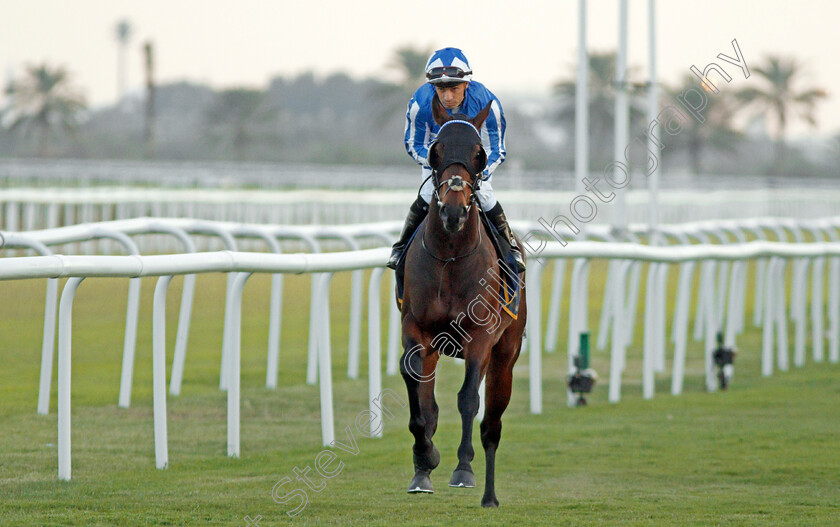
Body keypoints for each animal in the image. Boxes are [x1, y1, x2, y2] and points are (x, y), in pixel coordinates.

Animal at [398, 94, 524, 508]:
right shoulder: (416, 329)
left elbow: (468, 399)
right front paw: (425, 459)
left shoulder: (479, 337)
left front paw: (464, 469)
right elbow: (419, 395)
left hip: (505, 356)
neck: (450, 256)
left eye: (480, 154)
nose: (453, 211)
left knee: (492, 419)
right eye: (435, 151)